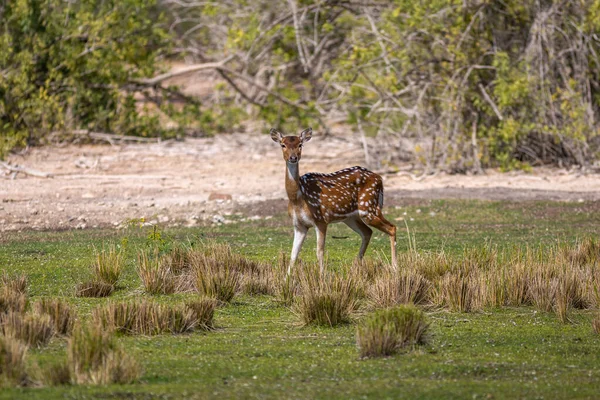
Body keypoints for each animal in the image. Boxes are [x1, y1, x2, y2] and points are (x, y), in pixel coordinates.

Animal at [270, 126, 396, 274]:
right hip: (351, 217)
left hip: (368, 208)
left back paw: (395, 267)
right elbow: (293, 254)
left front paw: (322, 275)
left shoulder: (321, 220)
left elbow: (319, 252)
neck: (298, 198)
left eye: (300, 144)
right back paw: (355, 266)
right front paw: (286, 278)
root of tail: (380, 178)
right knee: (367, 232)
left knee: (391, 227)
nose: (293, 157)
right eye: (283, 145)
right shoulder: (299, 225)